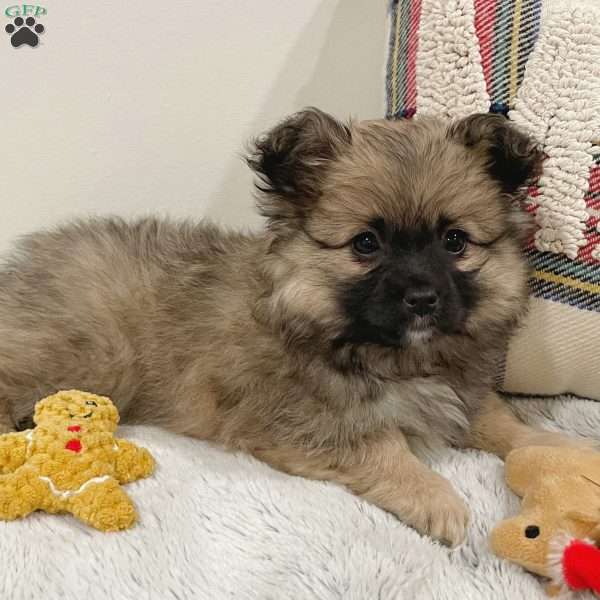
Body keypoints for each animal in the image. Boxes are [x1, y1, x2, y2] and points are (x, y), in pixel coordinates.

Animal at [0, 110, 580, 548]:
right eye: (366, 244)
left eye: (455, 241)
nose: (421, 298)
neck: (391, 354)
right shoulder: (304, 423)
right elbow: (386, 446)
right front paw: (437, 500)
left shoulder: (462, 389)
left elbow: (501, 421)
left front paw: (557, 447)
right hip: (87, 357)